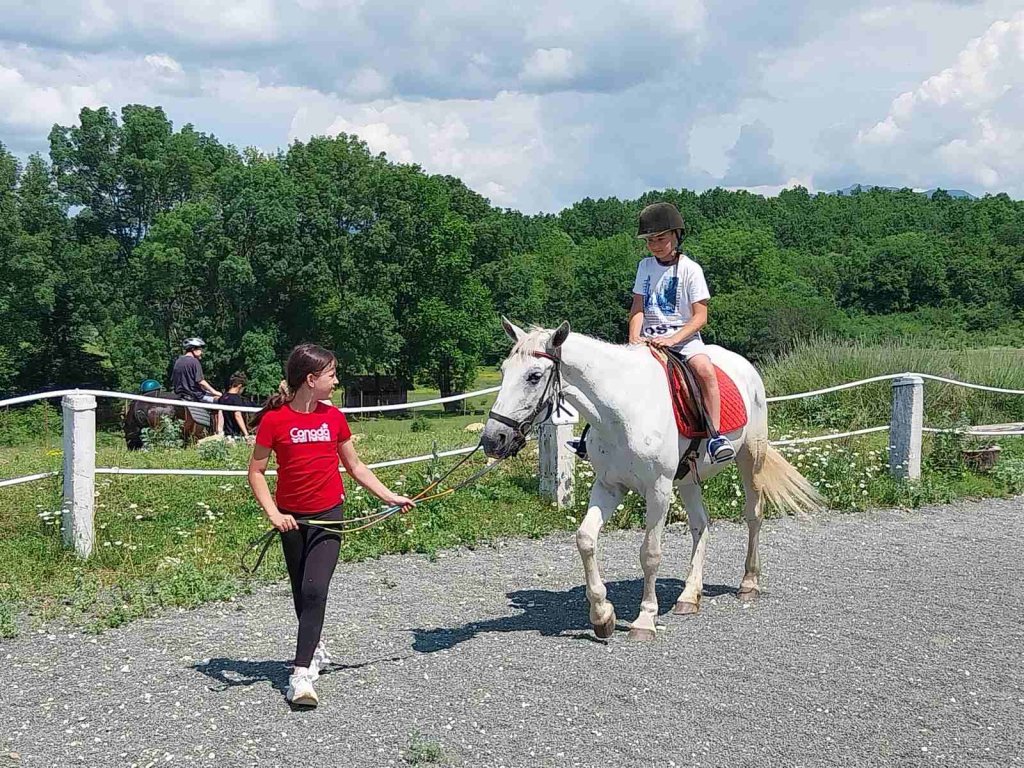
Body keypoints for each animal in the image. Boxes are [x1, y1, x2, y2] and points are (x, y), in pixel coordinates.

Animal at [481, 319, 823, 643]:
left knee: (753, 515)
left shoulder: (658, 489)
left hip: (751, 458)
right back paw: (689, 596)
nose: (492, 439)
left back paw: (749, 582)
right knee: (701, 525)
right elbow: (585, 539)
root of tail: (744, 366)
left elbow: (650, 553)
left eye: (534, 376)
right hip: (687, 479)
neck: (621, 411)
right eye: (504, 371)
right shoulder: (609, 486)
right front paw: (602, 616)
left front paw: (644, 620)